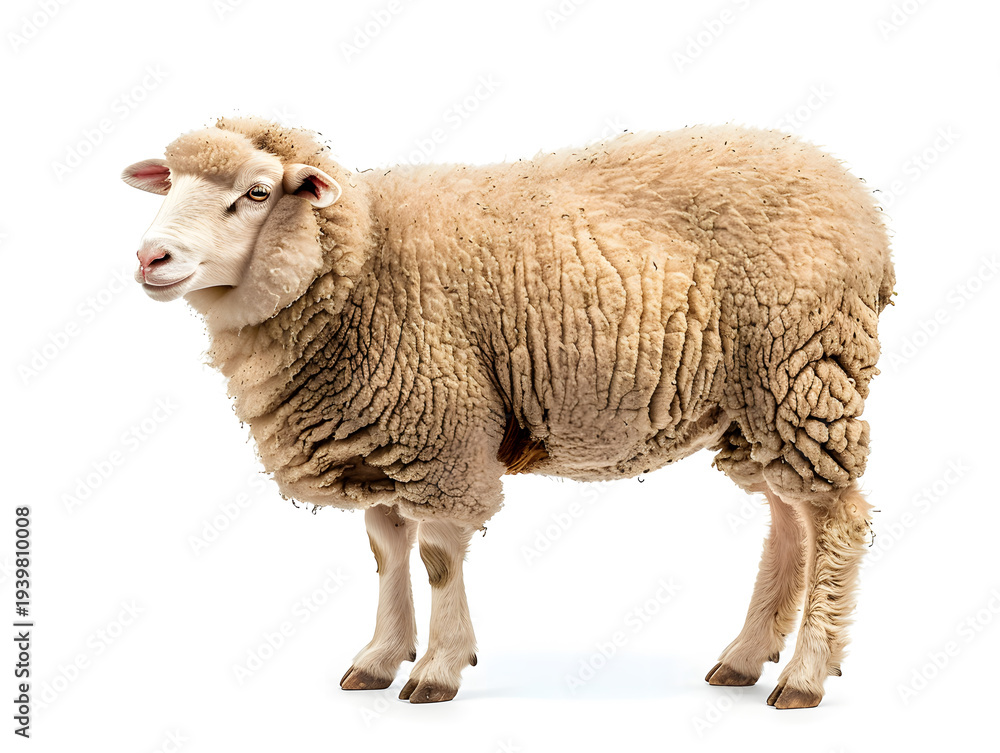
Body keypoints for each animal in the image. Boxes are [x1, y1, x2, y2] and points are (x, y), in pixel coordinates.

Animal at [122, 116, 895, 708]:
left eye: (256, 192)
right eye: (170, 184)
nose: (150, 257)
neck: (364, 260)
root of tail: (857, 201)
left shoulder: (441, 430)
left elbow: (437, 557)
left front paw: (438, 668)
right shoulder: (377, 437)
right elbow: (385, 550)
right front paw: (379, 657)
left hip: (802, 371)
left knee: (837, 519)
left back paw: (805, 674)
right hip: (755, 403)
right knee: (791, 518)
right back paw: (746, 655)